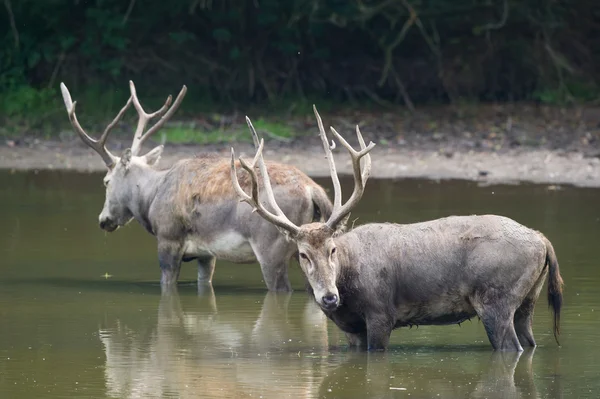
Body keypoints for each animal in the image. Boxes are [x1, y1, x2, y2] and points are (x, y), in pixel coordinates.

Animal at [59, 83, 332, 292]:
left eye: (106, 181)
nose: (103, 220)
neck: (151, 199)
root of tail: (314, 191)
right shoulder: (206, 253)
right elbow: (204, 283)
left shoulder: (168, 237)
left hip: (271, 246)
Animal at [229, 107, 564, 354]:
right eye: (302, 254)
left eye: (332, 249)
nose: (329, 298)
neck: (349, 283)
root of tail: (543, 240)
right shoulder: (353, 329)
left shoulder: (381, 313)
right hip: (527, 300)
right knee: (529, 342)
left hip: (496, 299)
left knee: (511, 347)